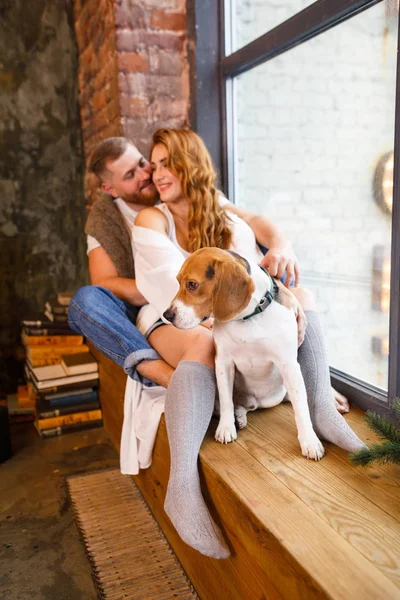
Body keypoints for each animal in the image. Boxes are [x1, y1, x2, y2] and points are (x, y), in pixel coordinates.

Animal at [164, 246, 326, 462]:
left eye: (192, 284)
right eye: (178, 282)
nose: (167, 315)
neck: (248, 318)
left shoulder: (288, 365)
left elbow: (301, 407)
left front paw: (309, 441)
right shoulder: (223, 362)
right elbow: (226, 401)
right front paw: (226, 428)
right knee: (234, 404)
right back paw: (238, 417)